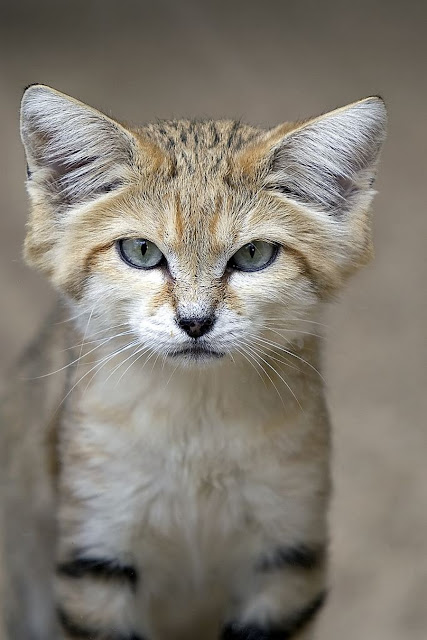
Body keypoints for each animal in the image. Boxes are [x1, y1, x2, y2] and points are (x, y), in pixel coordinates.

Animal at [0, 86, 388, 640]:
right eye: (141, 251)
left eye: (254, 254)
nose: (196, 322)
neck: (196, 424)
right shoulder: (97, 549)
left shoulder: (287, 551)